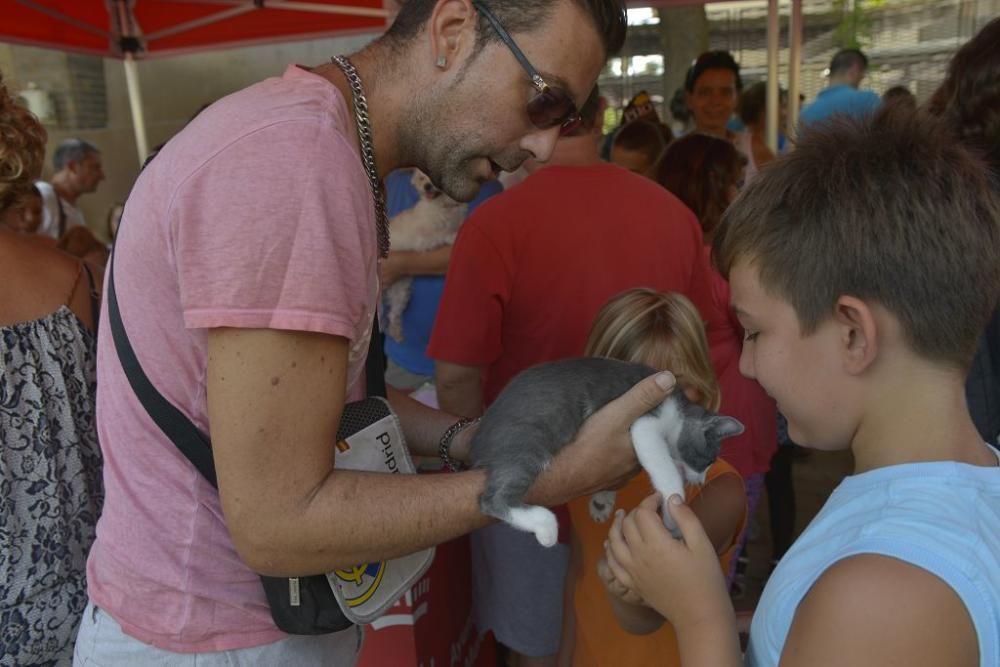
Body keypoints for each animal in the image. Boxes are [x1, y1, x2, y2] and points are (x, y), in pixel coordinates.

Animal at [384, 170, 466, 342]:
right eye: (422, 178)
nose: (427, 186)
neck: (443, 206)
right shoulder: (424, 240)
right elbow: (442, 234)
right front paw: (453, 236)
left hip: (401, 291)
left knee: (393, 314)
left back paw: (396, 332)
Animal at [472, 360, 748, 548]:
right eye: (708, 461)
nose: (700, 481)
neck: (678, 409)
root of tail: (480, 434)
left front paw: (602, 500)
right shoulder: (644, 423)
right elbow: (666, 470)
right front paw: (674, 509)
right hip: (527, 440)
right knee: (492, 499)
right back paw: (546, 526)